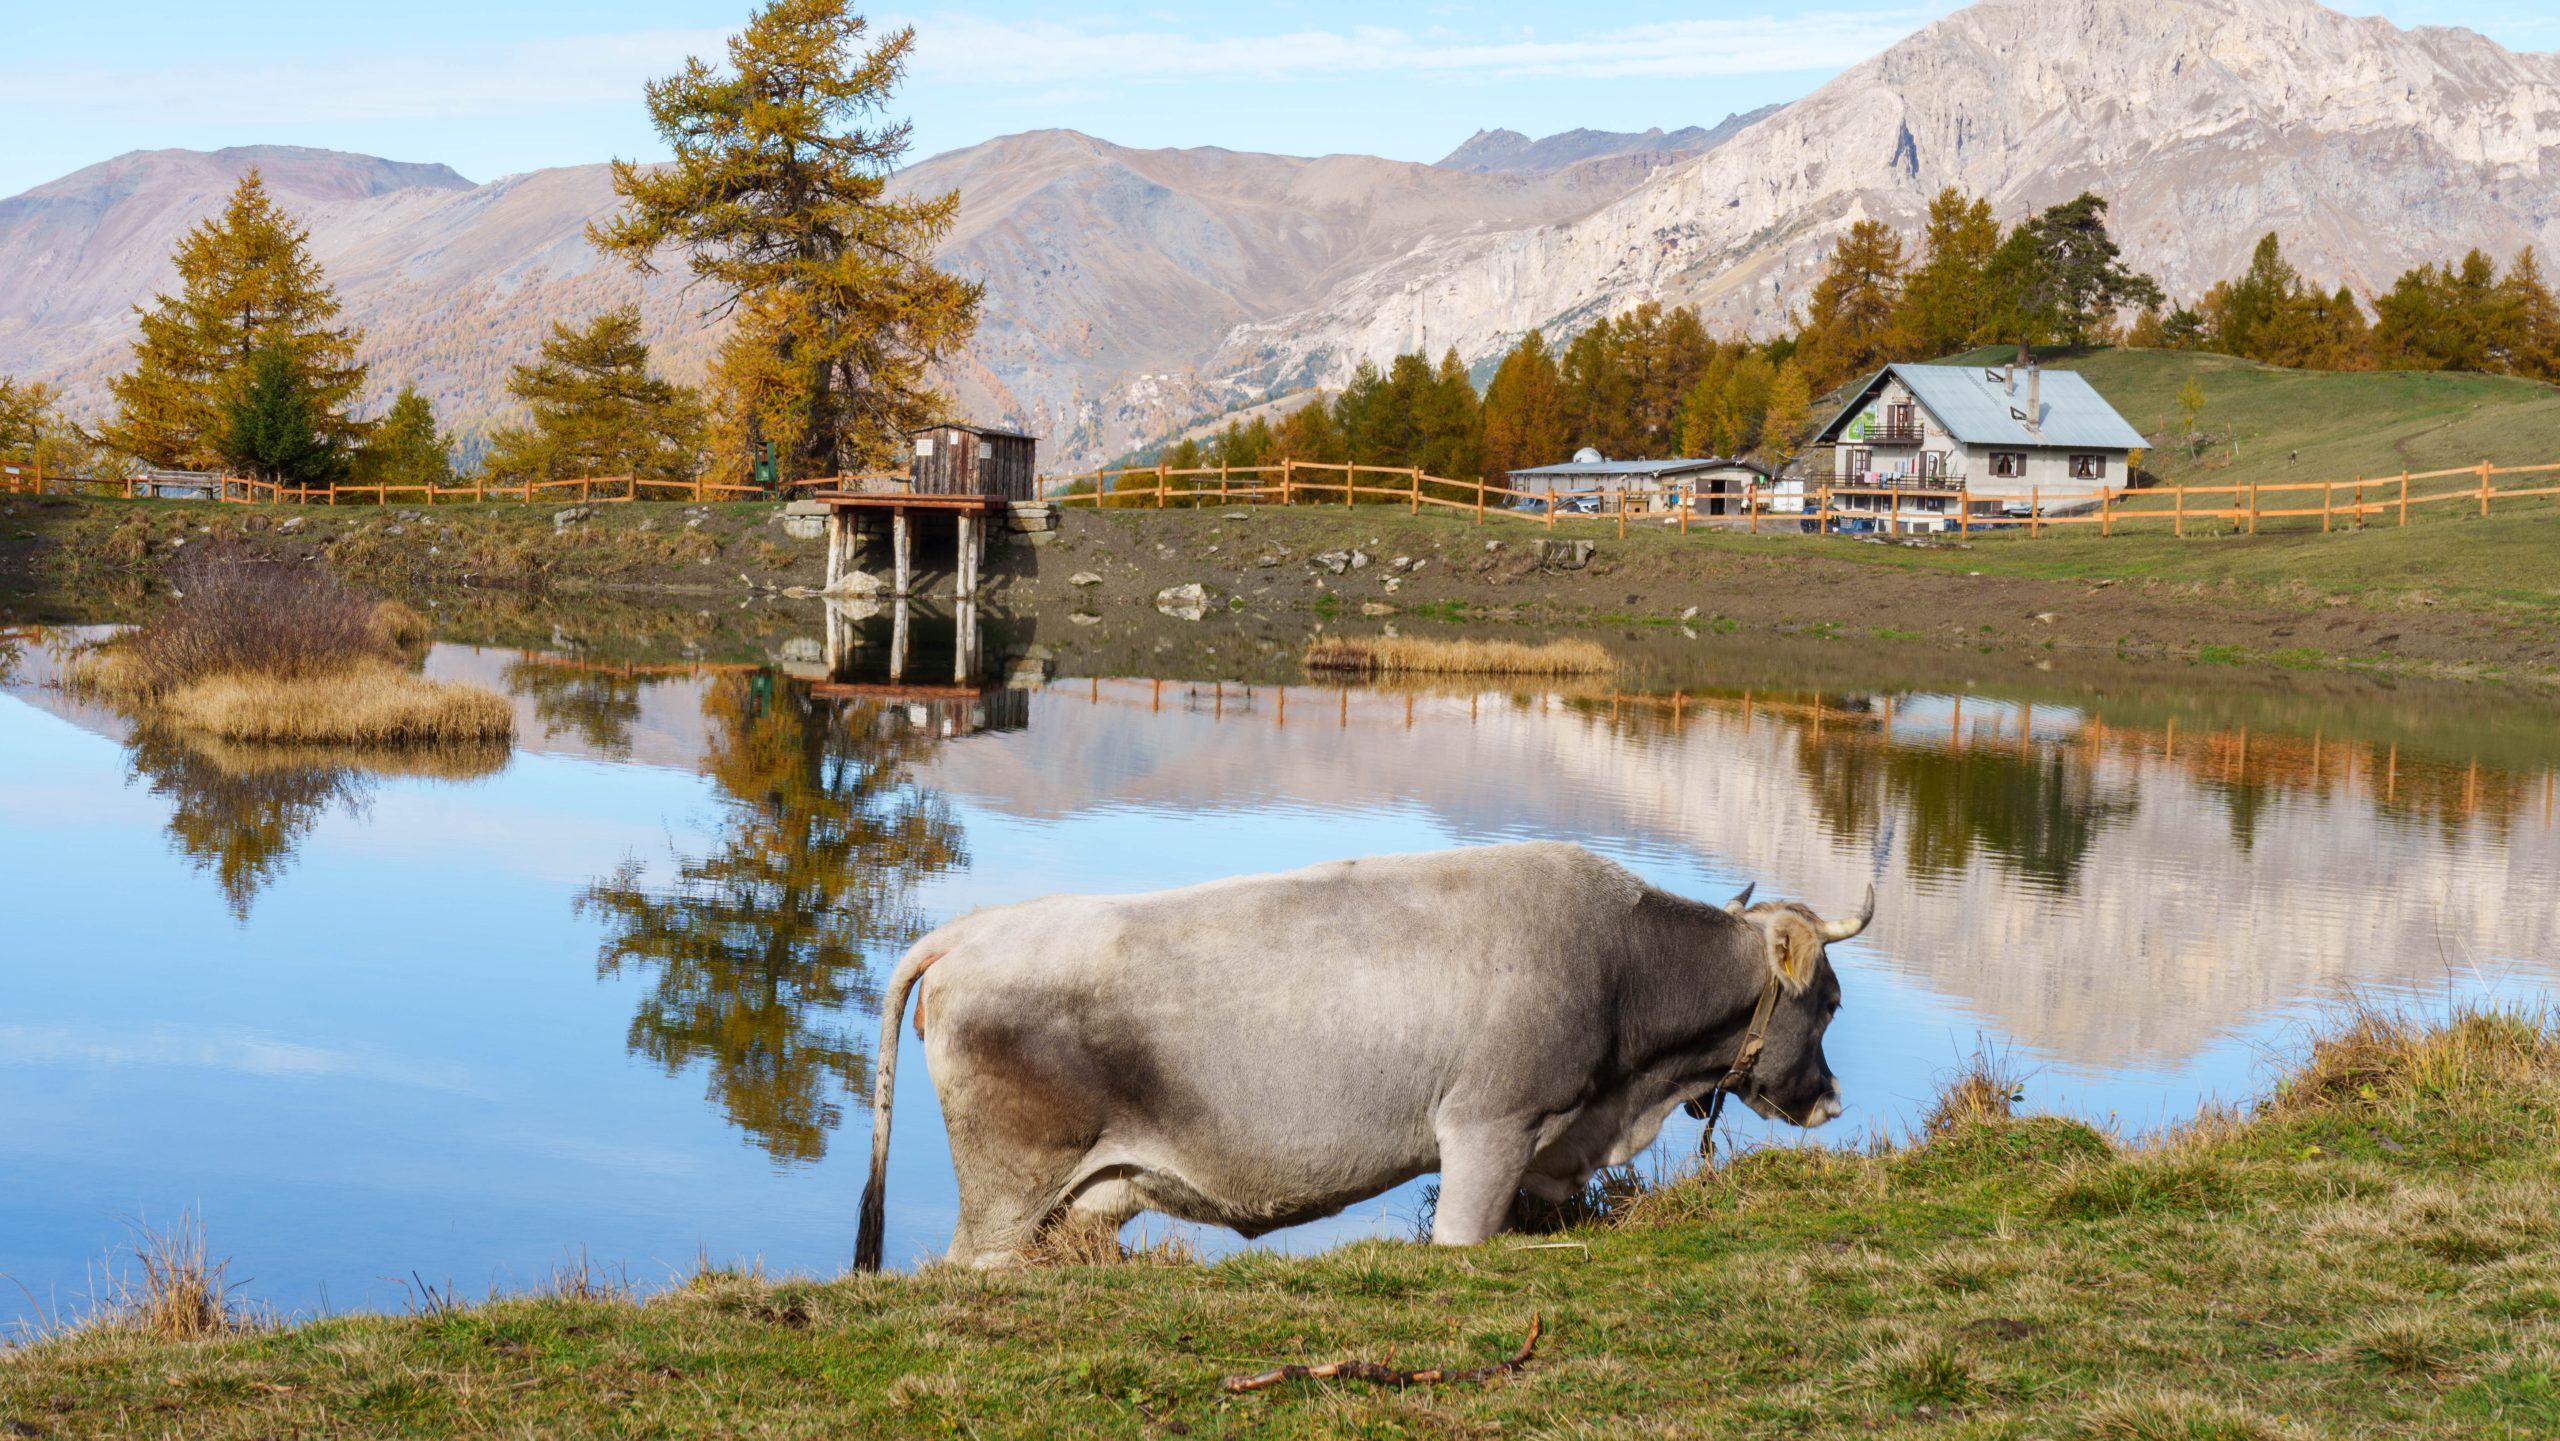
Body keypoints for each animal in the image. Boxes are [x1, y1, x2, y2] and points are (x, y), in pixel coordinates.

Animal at [849, 844, 1873, 1274]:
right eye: (1830, 1002)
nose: (1832, 1100)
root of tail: (973, 930)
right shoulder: (1488, 1128)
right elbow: (1463, 1240)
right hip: (1005, 1194)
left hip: (1084, 1199)